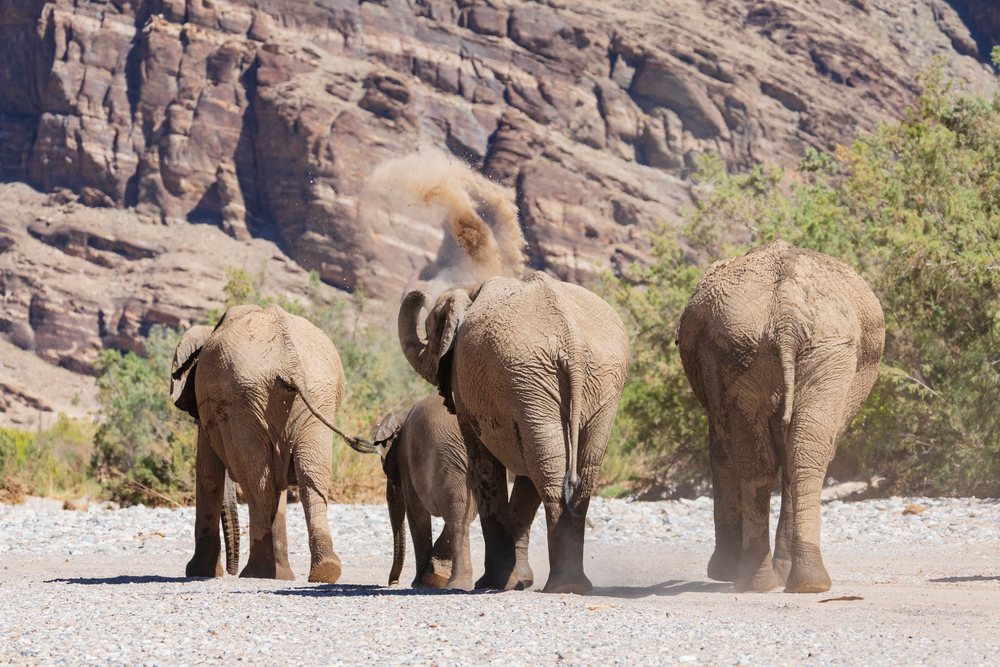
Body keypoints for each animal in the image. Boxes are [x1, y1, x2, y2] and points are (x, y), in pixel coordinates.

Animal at [170, 304, 375, 583]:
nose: (229, 572)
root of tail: (290, 362)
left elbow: (209, 475)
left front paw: (198, 572)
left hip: (246, 402)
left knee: (258, 481)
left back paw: (255, 573)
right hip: (313, 395)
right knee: (310, 474)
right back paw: (323, 570)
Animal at [373, 394, 477, 589]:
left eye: (387, 472)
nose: (393, 583)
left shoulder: (406, 463)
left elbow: (416, 514)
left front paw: (420, 582)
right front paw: (433, 577)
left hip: (449, 459)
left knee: (457, 514)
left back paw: (457, 584)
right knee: (461, 514)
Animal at [398, 271, 630, 594]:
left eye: (431, 331)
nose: (420, 292)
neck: (471, 291)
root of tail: (573, 342)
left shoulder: (470, 390)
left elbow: (483, 463)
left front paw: (493, 583)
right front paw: (517, 582)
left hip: (536, 379)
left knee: (548, 471)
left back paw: (561, 586)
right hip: (588, 382)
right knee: (570, 469)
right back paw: (572, 586)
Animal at [676, 240, 885, 593]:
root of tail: (787, 314)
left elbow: (723, 452)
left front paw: (723, 574)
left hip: (786, 349)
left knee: (770, 457)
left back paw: (768, 581)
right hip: (771, 349)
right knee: (799, 452)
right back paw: (795, 582)